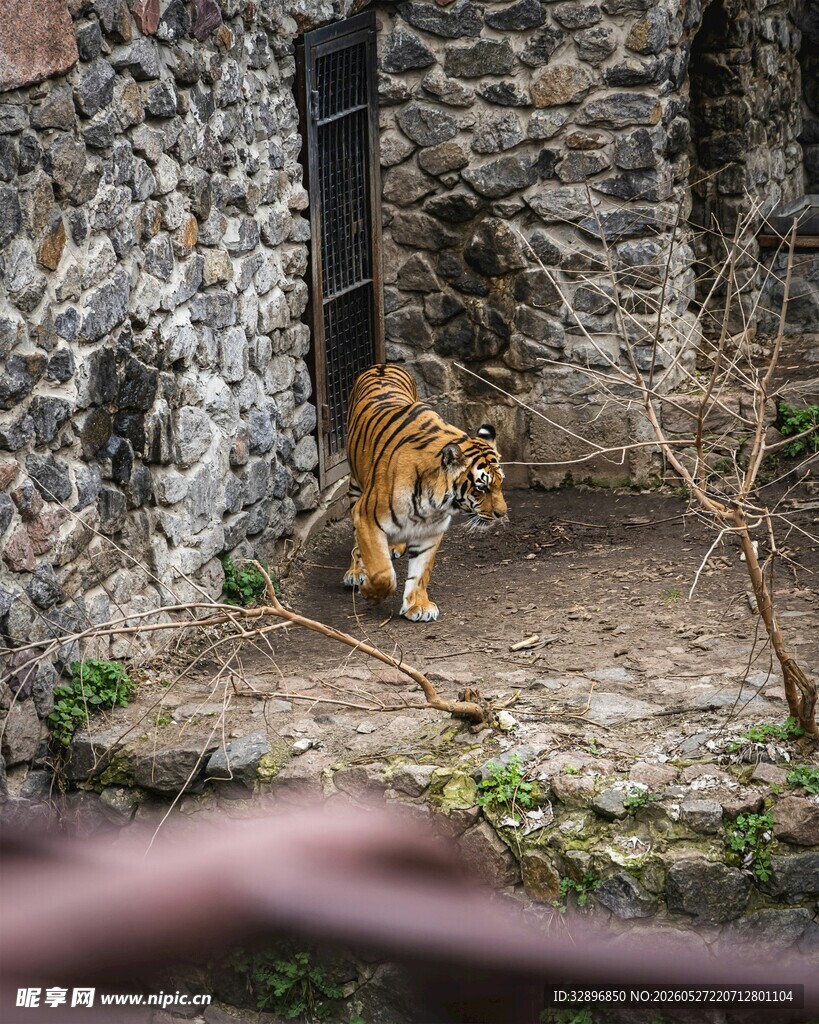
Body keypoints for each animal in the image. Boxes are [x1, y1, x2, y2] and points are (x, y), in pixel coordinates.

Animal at [343, 363, 507, 622]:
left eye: (500, 483)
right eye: (482, 487)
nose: (502, 513)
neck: (435, 502)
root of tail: (382, 365)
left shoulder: (431, 529)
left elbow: (421, 572)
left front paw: (418, 605)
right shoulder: (366, 516)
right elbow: (382, 571)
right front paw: (371, 592)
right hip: (355, 487)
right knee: (358, 544)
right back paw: (356, 571)